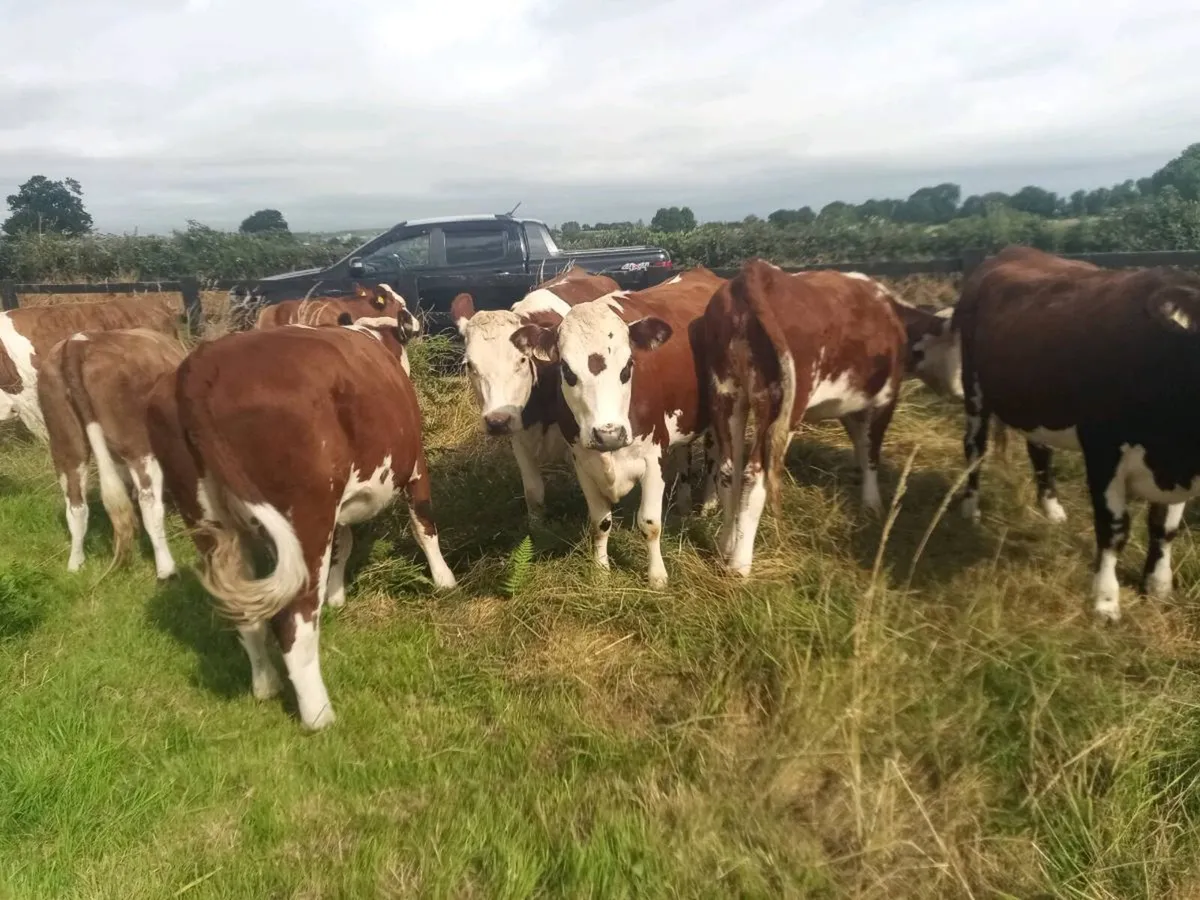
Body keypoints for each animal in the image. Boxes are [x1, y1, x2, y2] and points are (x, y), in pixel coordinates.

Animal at [36, 328, 188, 577]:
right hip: (139, 445)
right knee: (149, 503)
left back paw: (75, 564)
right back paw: (166, 568)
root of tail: (78, 342)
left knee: (76, 504)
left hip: (66, 442)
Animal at [171, 307, 453, 731]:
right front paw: (444, 580)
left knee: (247, 611)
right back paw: (319, 715)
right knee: (293, 620)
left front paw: (336, 594)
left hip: (210, 523)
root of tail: (206, 363)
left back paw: (265, 684)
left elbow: (344, 545)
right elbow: (425, 525)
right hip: (305, 517)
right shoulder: (416, 464)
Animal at [508, 266, 728, 587]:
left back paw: (709, 504)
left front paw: (657, 576)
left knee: (714, 457)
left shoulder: (653, 458)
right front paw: (601, 570)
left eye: (628, 366)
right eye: (567, 371)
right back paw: (685, 504)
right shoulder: (583, 462)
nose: (608, 434)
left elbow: (650, 523)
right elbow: (600, 522)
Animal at [701, 259, 962, 577]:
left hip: (727, 395)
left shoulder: (849, 405)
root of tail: (756, 273)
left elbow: (861, 446)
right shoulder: (885, 398)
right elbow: (871, 453)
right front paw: (873, 504)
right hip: (780, 407)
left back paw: (725, 545)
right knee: (756, 474)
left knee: (730, 470)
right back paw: (740, 564)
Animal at [953, 245, 1200, 623]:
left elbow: (1164, 528)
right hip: (975, 390)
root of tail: (1012, 250)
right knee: (974, 449)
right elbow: (1114, 528)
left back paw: (1052, 509)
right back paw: (971, 508)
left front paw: (1158, 587)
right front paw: (1105, 601)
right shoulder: (1103, 451)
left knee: (1040, 452)